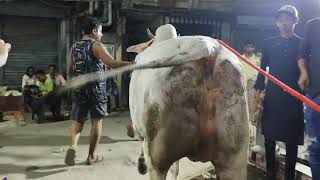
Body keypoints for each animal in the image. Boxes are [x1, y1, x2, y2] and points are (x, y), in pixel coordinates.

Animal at [126, 24, 249, 180]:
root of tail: (208, 48)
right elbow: (176, 169)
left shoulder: (140, 129)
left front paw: (141, 165)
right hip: (234, 160)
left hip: (158, 157)